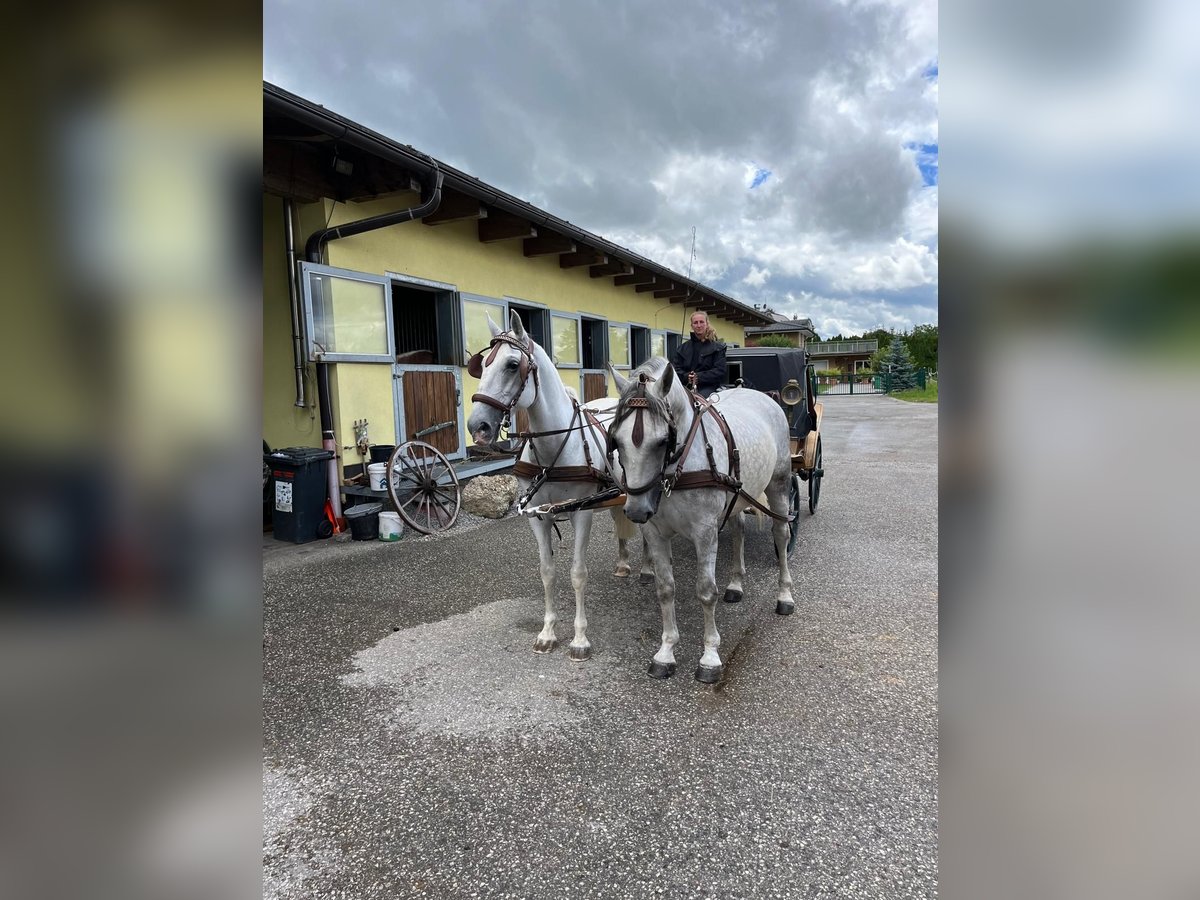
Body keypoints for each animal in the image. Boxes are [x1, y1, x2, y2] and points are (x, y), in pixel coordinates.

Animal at [463, 314, 648, 657]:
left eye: (512, 365)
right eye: (482, 366)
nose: (477, 427)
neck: (554, 450)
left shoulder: (582, 513)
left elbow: (577, 573)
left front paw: (579, 639)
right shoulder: (538, 514)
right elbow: (547, 572)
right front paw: (548, 632)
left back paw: (648, 568)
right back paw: (623, 563)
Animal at [609, 357, 796, 681]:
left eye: (663, 441)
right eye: (617, 440)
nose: (635, 512)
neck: (676, 470)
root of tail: (760, 395)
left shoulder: (705, 532)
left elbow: (706, 592)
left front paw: (710, 657)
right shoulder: (655, 533)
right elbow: (665, 589)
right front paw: (666, 652)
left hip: (779, 485)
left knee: (781, 534)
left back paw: (784, 595)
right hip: (738, 494)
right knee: (738, 530)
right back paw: (736, 585)